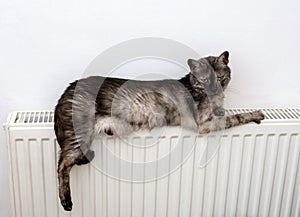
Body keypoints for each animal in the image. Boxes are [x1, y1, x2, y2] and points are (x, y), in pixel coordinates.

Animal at [54, 50, 264, 210]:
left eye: (220, 78)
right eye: (204, 80)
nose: (214, 89)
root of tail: (66, 91)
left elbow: (224, 113)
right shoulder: (202, 124)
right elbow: (234, 117)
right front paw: (256, 114)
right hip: (80, 133)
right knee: (62, 163)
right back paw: (66, 201)